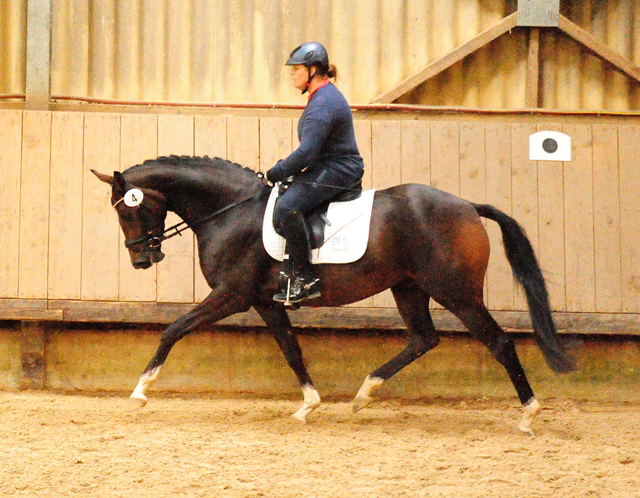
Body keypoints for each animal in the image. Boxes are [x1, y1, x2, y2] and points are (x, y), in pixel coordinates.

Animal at [94, 154, 576, 434]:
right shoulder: (264, 302)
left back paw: (529, 414)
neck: (230, 210)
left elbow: (173, 330)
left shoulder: (231, 295)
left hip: (456, 292)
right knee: (424, 339)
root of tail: (467, 206)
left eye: (130, 211)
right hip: (408, 287)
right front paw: (309, 405)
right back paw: (363, 394)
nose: (141, 260)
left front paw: (140, 391)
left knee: (499, 342)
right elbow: (291, 350)